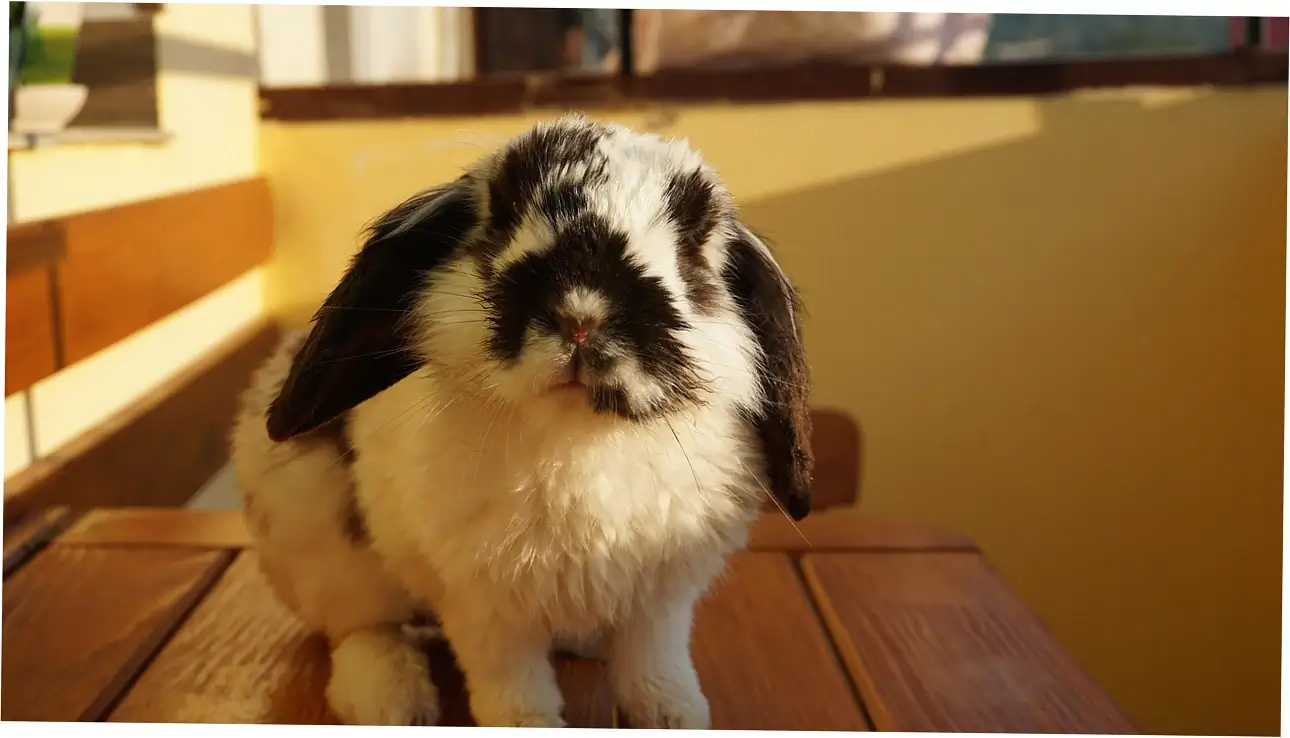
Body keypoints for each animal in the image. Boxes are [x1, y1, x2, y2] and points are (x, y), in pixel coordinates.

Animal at [230, 113, 814, 729]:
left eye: (693, 249)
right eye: (502, 215)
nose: (581, 316)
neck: (577, 433)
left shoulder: (659, 601)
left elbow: (654, 663)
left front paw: (675, 716)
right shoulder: (485, 608)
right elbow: (512, 687)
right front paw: (529, 723)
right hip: (322, 543)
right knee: (361, 629)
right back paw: (391, 701)